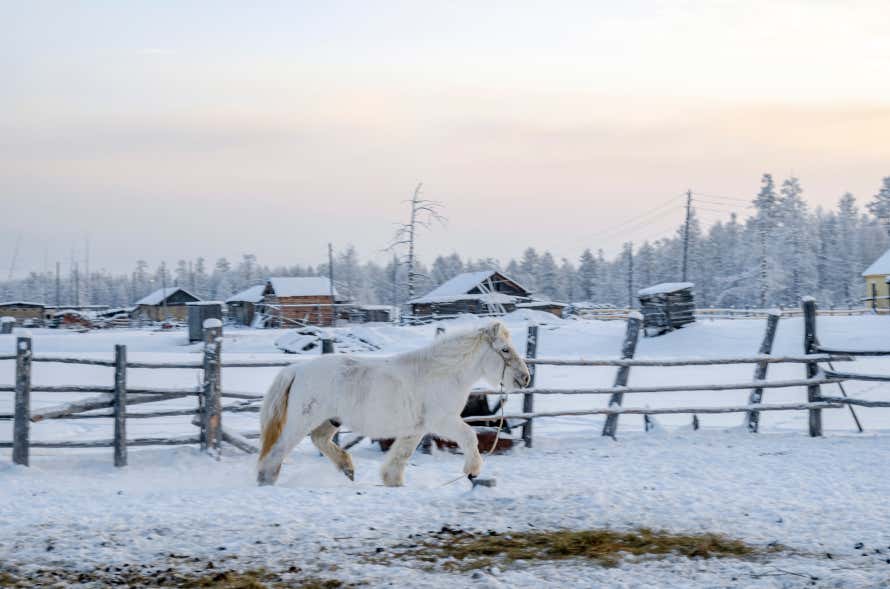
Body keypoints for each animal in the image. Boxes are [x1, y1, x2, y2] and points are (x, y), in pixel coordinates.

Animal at [256, 320, 528, 484]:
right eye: (505, 349)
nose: (525, 378)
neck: (442, 373)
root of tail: (296, 370)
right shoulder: (442, 421)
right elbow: (470, 436)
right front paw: (472, 471)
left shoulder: (415, 429)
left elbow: (399, 460)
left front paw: (392, 482)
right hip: (301, 422)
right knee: (276, 453)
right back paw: (267, 481)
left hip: (330, 420)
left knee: (319, 440)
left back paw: (348, 468)